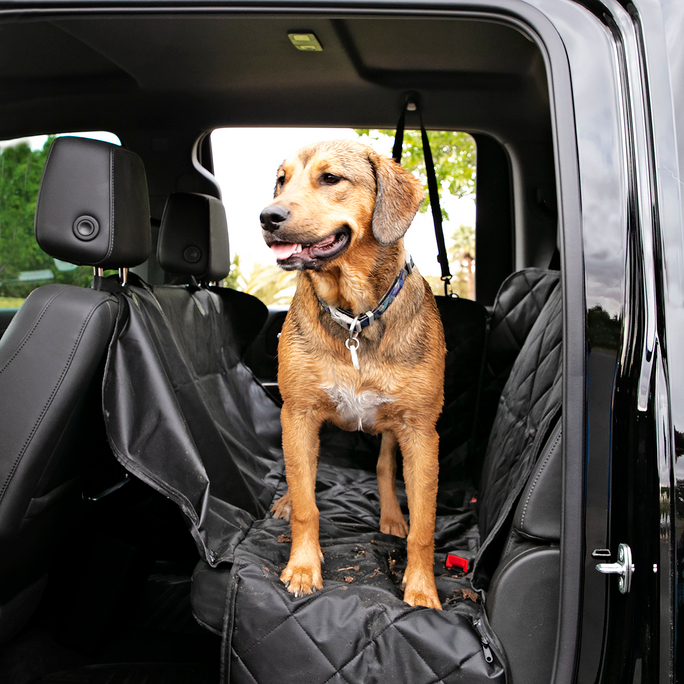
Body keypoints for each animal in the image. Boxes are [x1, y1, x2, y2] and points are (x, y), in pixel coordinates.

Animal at [260, 139, 446, 609]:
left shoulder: (421, 431)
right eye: (281, 180)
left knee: (383, 467)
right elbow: (307, 503)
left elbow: (424, 527)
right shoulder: (299, 414)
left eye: (331, 179)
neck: (355, 316)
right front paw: (303, 567)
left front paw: (422, 587)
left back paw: (391, 516)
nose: (268, 216)